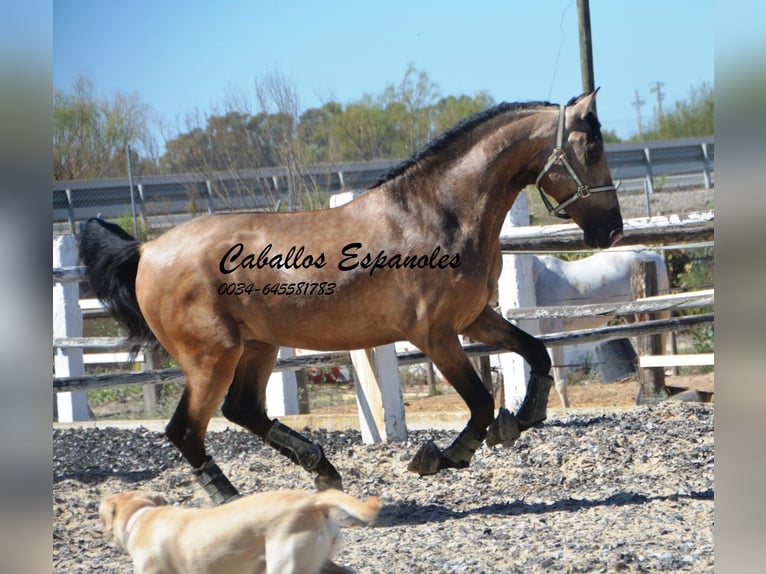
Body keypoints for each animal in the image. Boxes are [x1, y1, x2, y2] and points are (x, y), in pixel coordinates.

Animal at [78, 90, 624, 504]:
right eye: (594, 150)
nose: (612, 230)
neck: (437, 213)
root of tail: (146, 249)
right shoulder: (436, 335)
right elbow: (481, 403)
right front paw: (442, 457)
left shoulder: (474, 318)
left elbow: (536, 352)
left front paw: (525, 417)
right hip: (211, 357)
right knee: (186, 430)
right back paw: (231, 499)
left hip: (257, 345)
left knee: (242, 410)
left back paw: (322, 470)